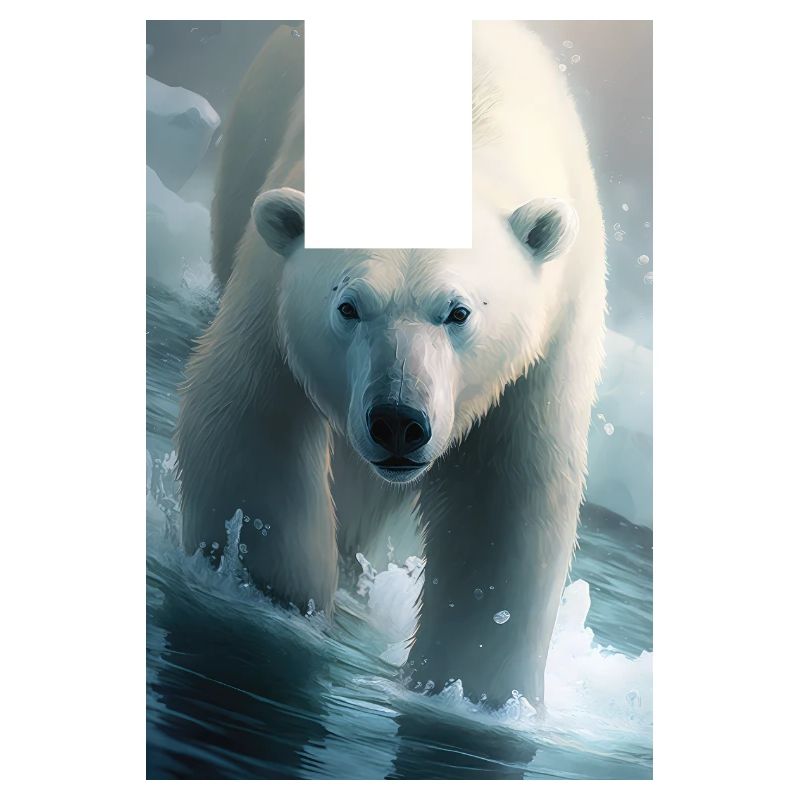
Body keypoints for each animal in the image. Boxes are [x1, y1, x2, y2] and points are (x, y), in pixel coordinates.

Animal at [176, 21, 606, 708]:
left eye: (458, 311)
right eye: (348, 305)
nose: (398, 422)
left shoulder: (546, 344)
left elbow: (506, 506)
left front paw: (475, 690)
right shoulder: (276, 285)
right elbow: (248, 424)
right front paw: (277, 604)